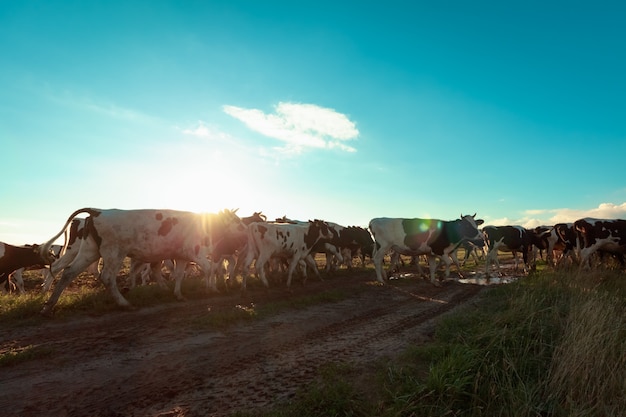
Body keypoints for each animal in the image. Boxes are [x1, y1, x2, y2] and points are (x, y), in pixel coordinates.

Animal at [39, 206, 244, 314]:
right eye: (237, 221)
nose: (245, 232)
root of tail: (98, 211)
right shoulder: (195, 252)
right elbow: (209, 268)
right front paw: (212, 289)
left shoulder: (181, 256)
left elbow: (179, 275)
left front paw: (178, 294)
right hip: (114, 252)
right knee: (107, 277)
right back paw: (124, 303)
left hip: (89, 251)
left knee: (69, 272)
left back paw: (49, 305)